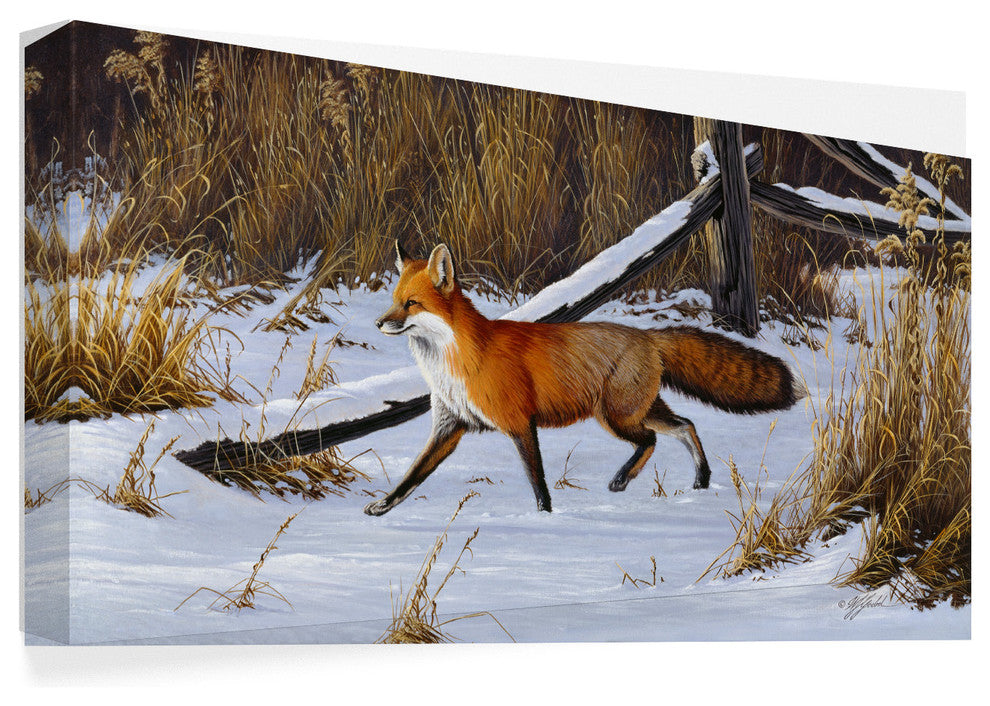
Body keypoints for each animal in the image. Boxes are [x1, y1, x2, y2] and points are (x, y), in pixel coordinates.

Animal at [364, 241, 805, 516]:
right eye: (392, 301)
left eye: (411, 304)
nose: (378, 322)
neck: (455, 362)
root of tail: (647, 336)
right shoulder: (449, 426)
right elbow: (412, 476)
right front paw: (383, 507)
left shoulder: (519, 424)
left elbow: (537, 480)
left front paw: (545, 517)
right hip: (639, 410)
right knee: (686, 425)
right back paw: (701, 480)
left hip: (615, 417)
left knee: (652, 440)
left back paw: (623, 480)